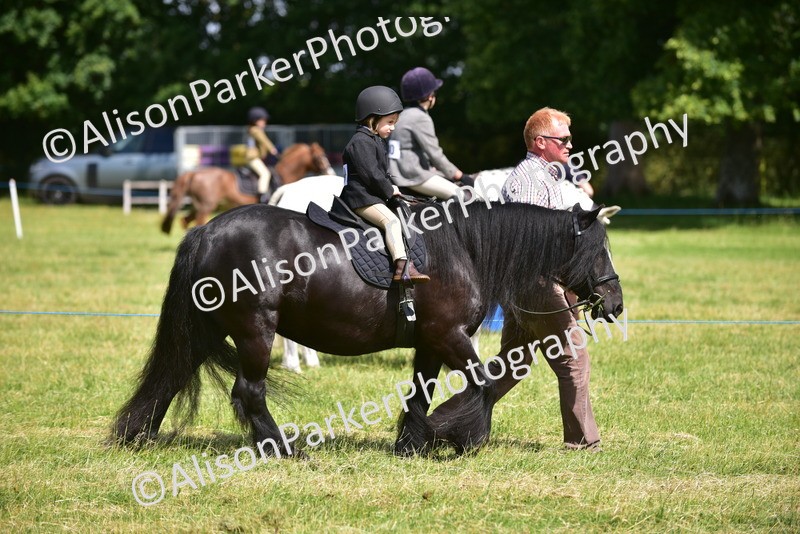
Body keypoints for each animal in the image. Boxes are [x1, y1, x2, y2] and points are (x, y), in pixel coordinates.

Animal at [113, 199, 623, 457]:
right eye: (600, 250)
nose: (615, 304)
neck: (461, 247)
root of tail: (206, 232)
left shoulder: (430, 343)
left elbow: (420, 394)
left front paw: (414, 444)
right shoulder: (450, 336)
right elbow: (481, 383)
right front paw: (459, 438)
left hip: (207, 330)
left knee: (170, 375)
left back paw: (138, 436)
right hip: (255, 331)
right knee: (248, 392)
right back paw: (283, 449)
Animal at [160, 142, 335, 233]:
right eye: (320, 157)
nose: (330, 172)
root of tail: (193, 173)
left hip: (200, 205)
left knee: (185, 220)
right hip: (206, 206)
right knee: (197, 220)